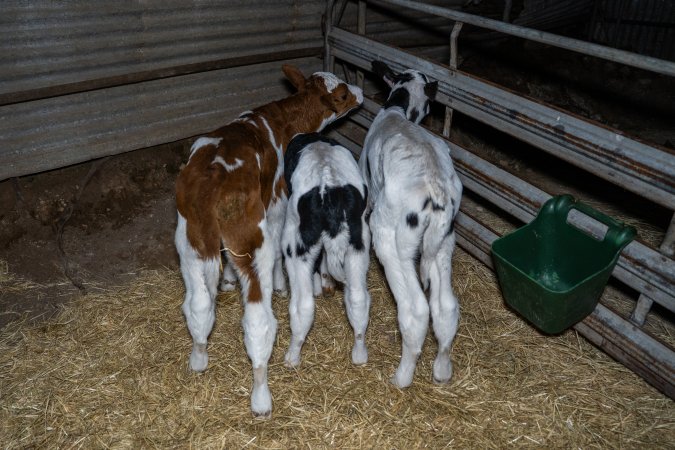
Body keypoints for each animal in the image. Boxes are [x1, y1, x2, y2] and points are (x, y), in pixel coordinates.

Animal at [281, 133, 371, 369]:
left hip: (295, 246)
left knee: (303, 306)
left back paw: (291, 357)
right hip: (359, 245)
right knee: (358, 298)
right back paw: (359, 355)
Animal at [359, 61, 462, 388]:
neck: (398, 111)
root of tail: (436, 189)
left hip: (392, 238)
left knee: (416, 309)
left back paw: (402, 376)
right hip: (443, 241)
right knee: (445, 308)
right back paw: (442, 370)